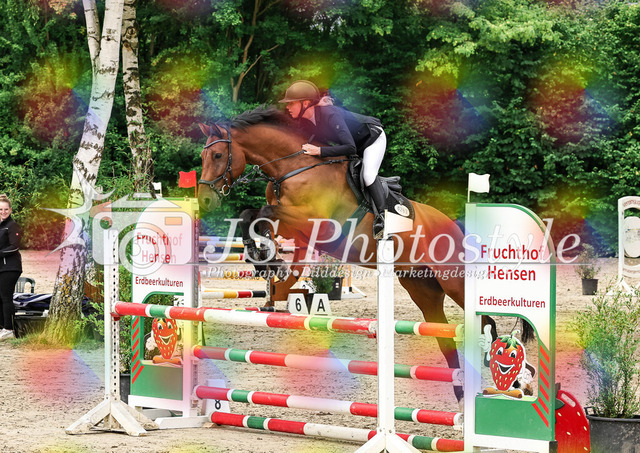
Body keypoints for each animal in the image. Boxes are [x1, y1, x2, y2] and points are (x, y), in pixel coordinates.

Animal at [197, 106, 491, 402]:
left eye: (218, 155)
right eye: (203, 156)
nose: (205, 200)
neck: (292, 169)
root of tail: (454, 227)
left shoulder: (319, 224)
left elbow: (264, 213)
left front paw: (271, 260)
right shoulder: (292, 224)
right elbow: (251, 215)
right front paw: (264, 259)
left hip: (454, 283)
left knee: (483, 320)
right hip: (422, 288)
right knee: (445, 337)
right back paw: (461, 392)